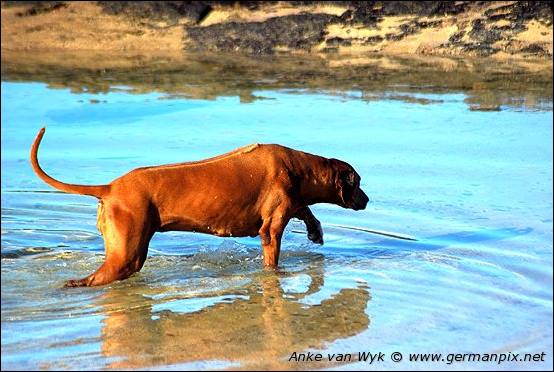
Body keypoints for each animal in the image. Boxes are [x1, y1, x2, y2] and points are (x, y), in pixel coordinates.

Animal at [29, 128, 366, 288]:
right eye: (358, 181)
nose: (367, 199)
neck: (300, 168)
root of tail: (110, 187)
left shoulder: (290, 203)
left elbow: (305, 209)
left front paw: (315, 231)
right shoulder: (271, 228)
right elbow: (272, 254)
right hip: (127, 253)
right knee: (98, 278)